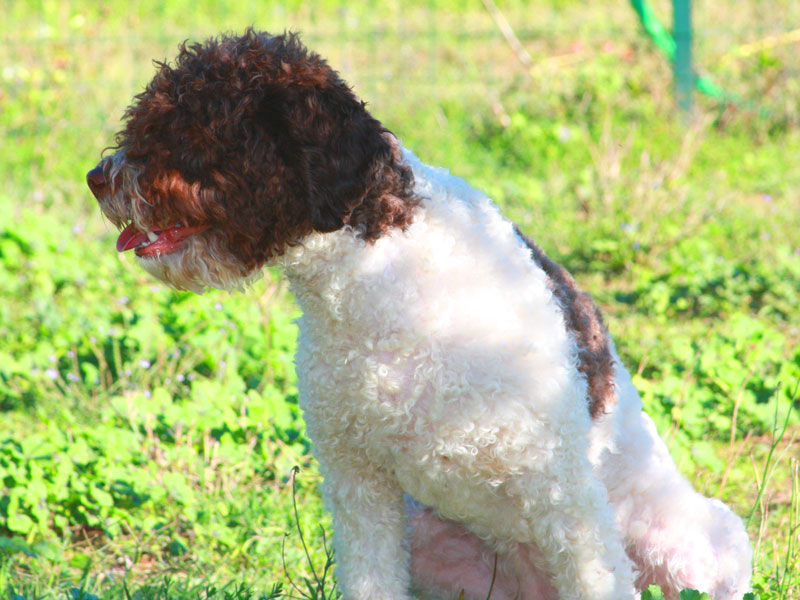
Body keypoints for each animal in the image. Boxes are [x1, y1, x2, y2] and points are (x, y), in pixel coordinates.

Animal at [89, 30, 756, 600]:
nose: (97, 177)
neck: (378, 278)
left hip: (693, 544)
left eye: (189, 131)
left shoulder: (562, 492)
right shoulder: (360, 486)